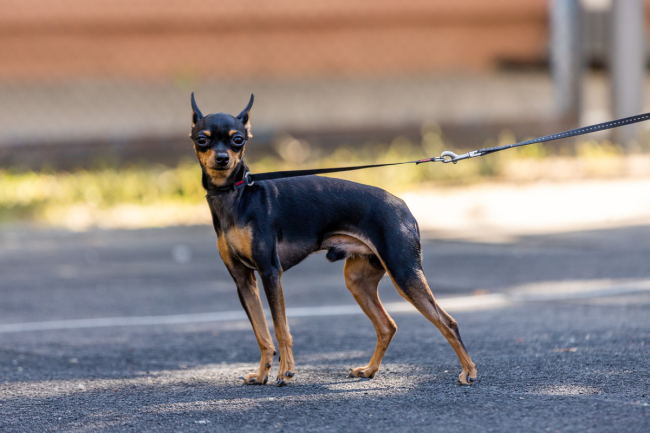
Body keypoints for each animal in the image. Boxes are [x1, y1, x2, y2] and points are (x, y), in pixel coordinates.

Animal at [190, 93, 477, 386]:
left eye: (238, 140)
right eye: (202, 139)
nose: (222, 159)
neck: (235, 194)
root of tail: (403, 207)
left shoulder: (270, 272)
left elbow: (281, 329)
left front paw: (285, 372)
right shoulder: (243, 279)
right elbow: (262, 334)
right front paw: (261, 374)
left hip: (404, 272)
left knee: (447, 322)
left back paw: (469, 371)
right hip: (358, 279)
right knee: (387, 326)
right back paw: (368, 370)